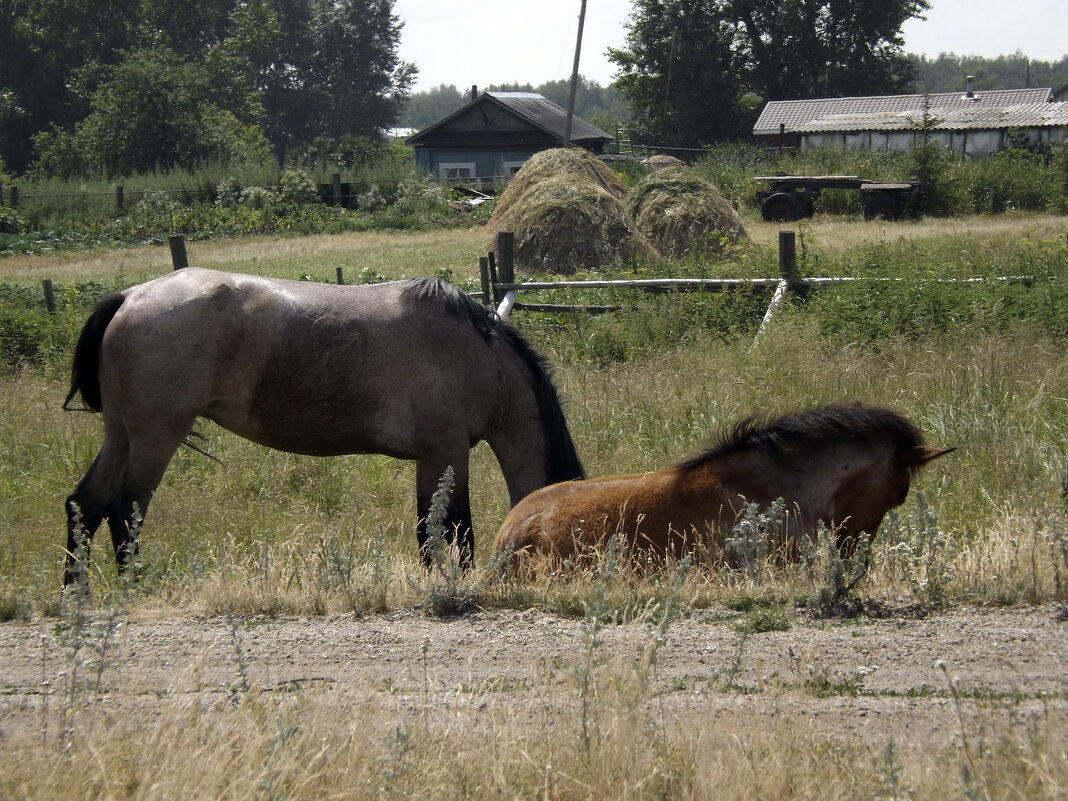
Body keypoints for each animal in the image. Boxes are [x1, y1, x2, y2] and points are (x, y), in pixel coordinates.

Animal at [62, 268, 585, 585]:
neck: (478, 358)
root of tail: (130, 296)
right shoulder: (446, 453)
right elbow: (452, 534)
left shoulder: (434, 459)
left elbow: (432, 533)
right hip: (156, 437)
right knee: (123, 510)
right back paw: (132, 587)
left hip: (121, 435)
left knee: (84, 505)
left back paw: (76, 591)